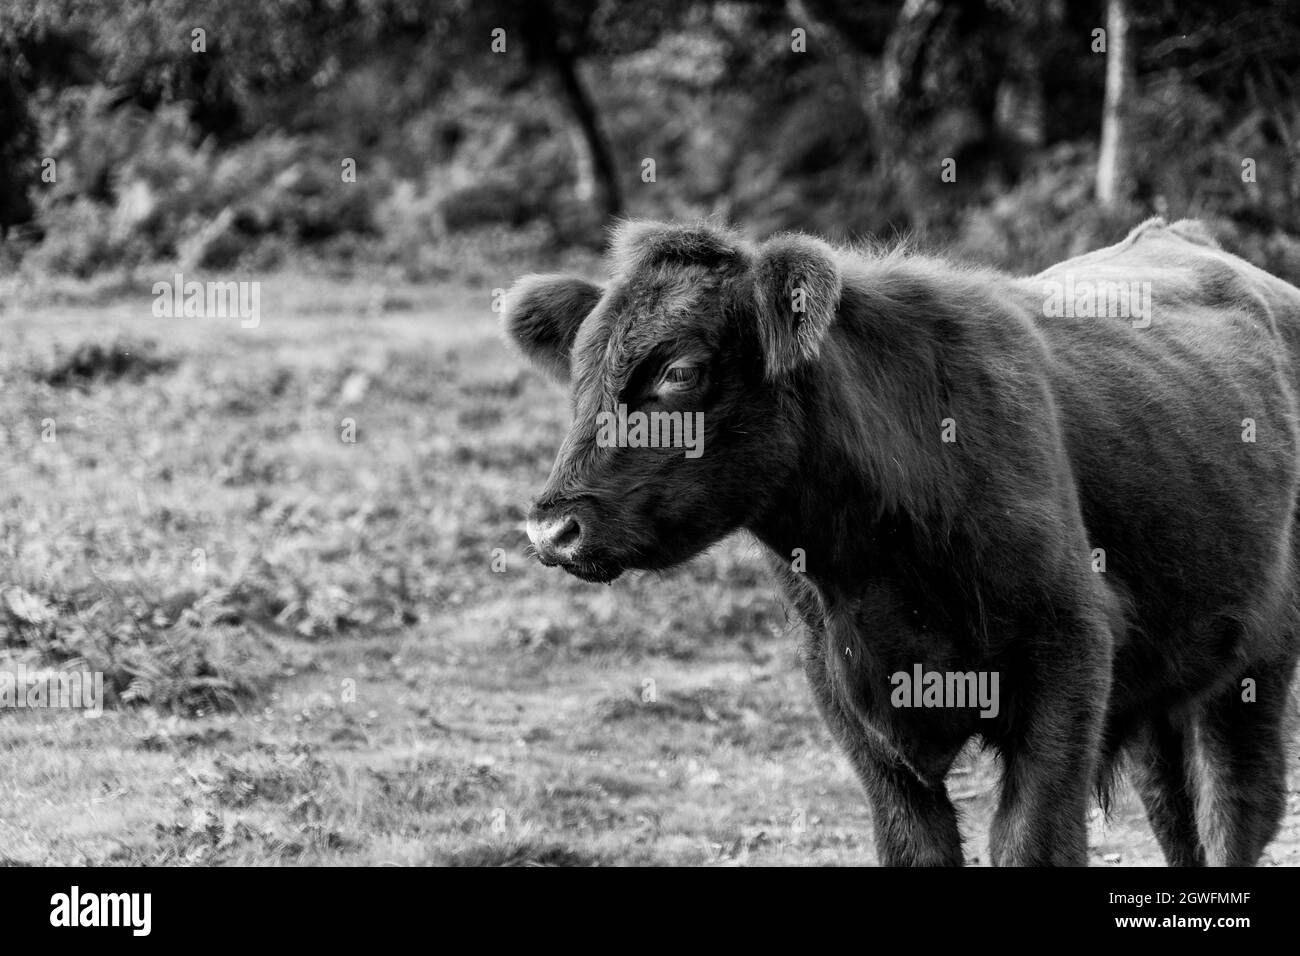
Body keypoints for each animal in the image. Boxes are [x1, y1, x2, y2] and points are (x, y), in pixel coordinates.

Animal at [502, 217, 1300, 866]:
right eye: (577, 374)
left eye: (679, 371)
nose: (552, 527)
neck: (873, 569)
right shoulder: (844, 695)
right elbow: (914, 846)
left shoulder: (1069, 657)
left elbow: (1031, 841)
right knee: (1175, 813)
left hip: (1257, 664)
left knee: (1235, 813)